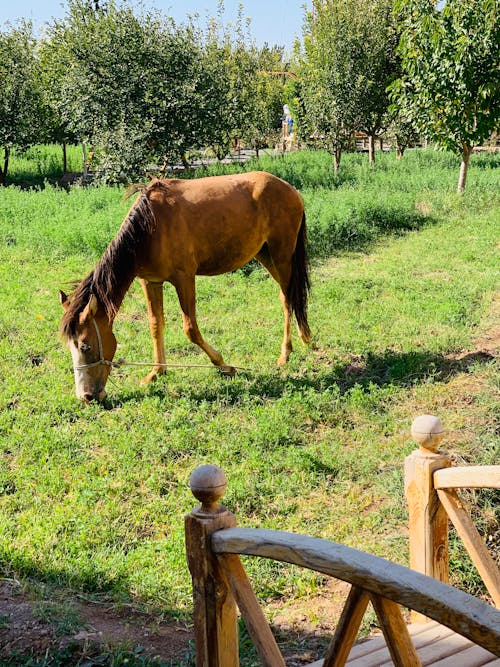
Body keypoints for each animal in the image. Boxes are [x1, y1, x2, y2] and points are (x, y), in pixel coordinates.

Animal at [58, 172, 308, 402]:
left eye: (85, 346)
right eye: (69, 347)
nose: (86, 396)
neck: (150, 227)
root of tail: (289, 189)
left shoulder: (184, 279)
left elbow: (191, 329)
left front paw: (223, 365)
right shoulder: (150, 281)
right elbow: (155, 325)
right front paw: (156, 372)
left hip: (281, 255)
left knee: (288, 296)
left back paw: (286, 353)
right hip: (265, 255)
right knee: (289, 295)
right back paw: (304, 337)